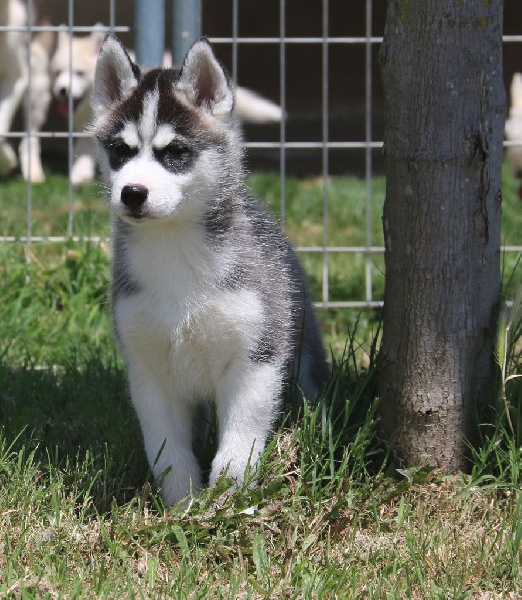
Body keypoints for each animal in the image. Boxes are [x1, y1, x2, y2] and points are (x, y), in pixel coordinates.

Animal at [89, 35, 324, 506]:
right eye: (120, 151)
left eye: (175, 153)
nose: (132, 193)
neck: (174, 250)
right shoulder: (147, 369)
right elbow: (166, 447)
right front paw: (183, 501)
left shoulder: (257, 357)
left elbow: (241, 437)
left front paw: (230, 495)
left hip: (300, 344)